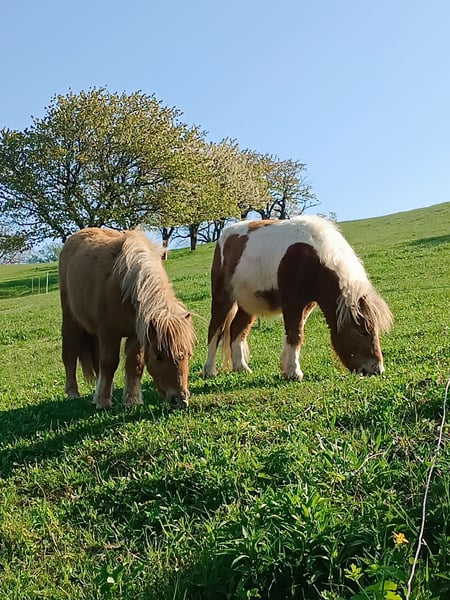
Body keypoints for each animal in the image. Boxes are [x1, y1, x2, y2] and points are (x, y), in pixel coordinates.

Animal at [59, 227, 194, 409]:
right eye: (159, 357)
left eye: (188, 355)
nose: (181, 400)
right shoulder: (109, 333)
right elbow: (109, 363)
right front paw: (103, 402)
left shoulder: (137, 334)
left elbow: (134, 365)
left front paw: (131, 400)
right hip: (70, 320)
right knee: (70, 355)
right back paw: (73, 393)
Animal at [203, 215, 393, 380]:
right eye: (362, 331)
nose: (378, 369)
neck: (310, 257)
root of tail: (224, 236)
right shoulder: (292, 304)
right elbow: (296, 335)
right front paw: (295, 373)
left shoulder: (306, 305)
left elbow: (292, 334)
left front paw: (285, 369)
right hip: (223, 298)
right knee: (215, 330)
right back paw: (209, 370)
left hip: (248, 303)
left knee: (237, 329)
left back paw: (241, 367)